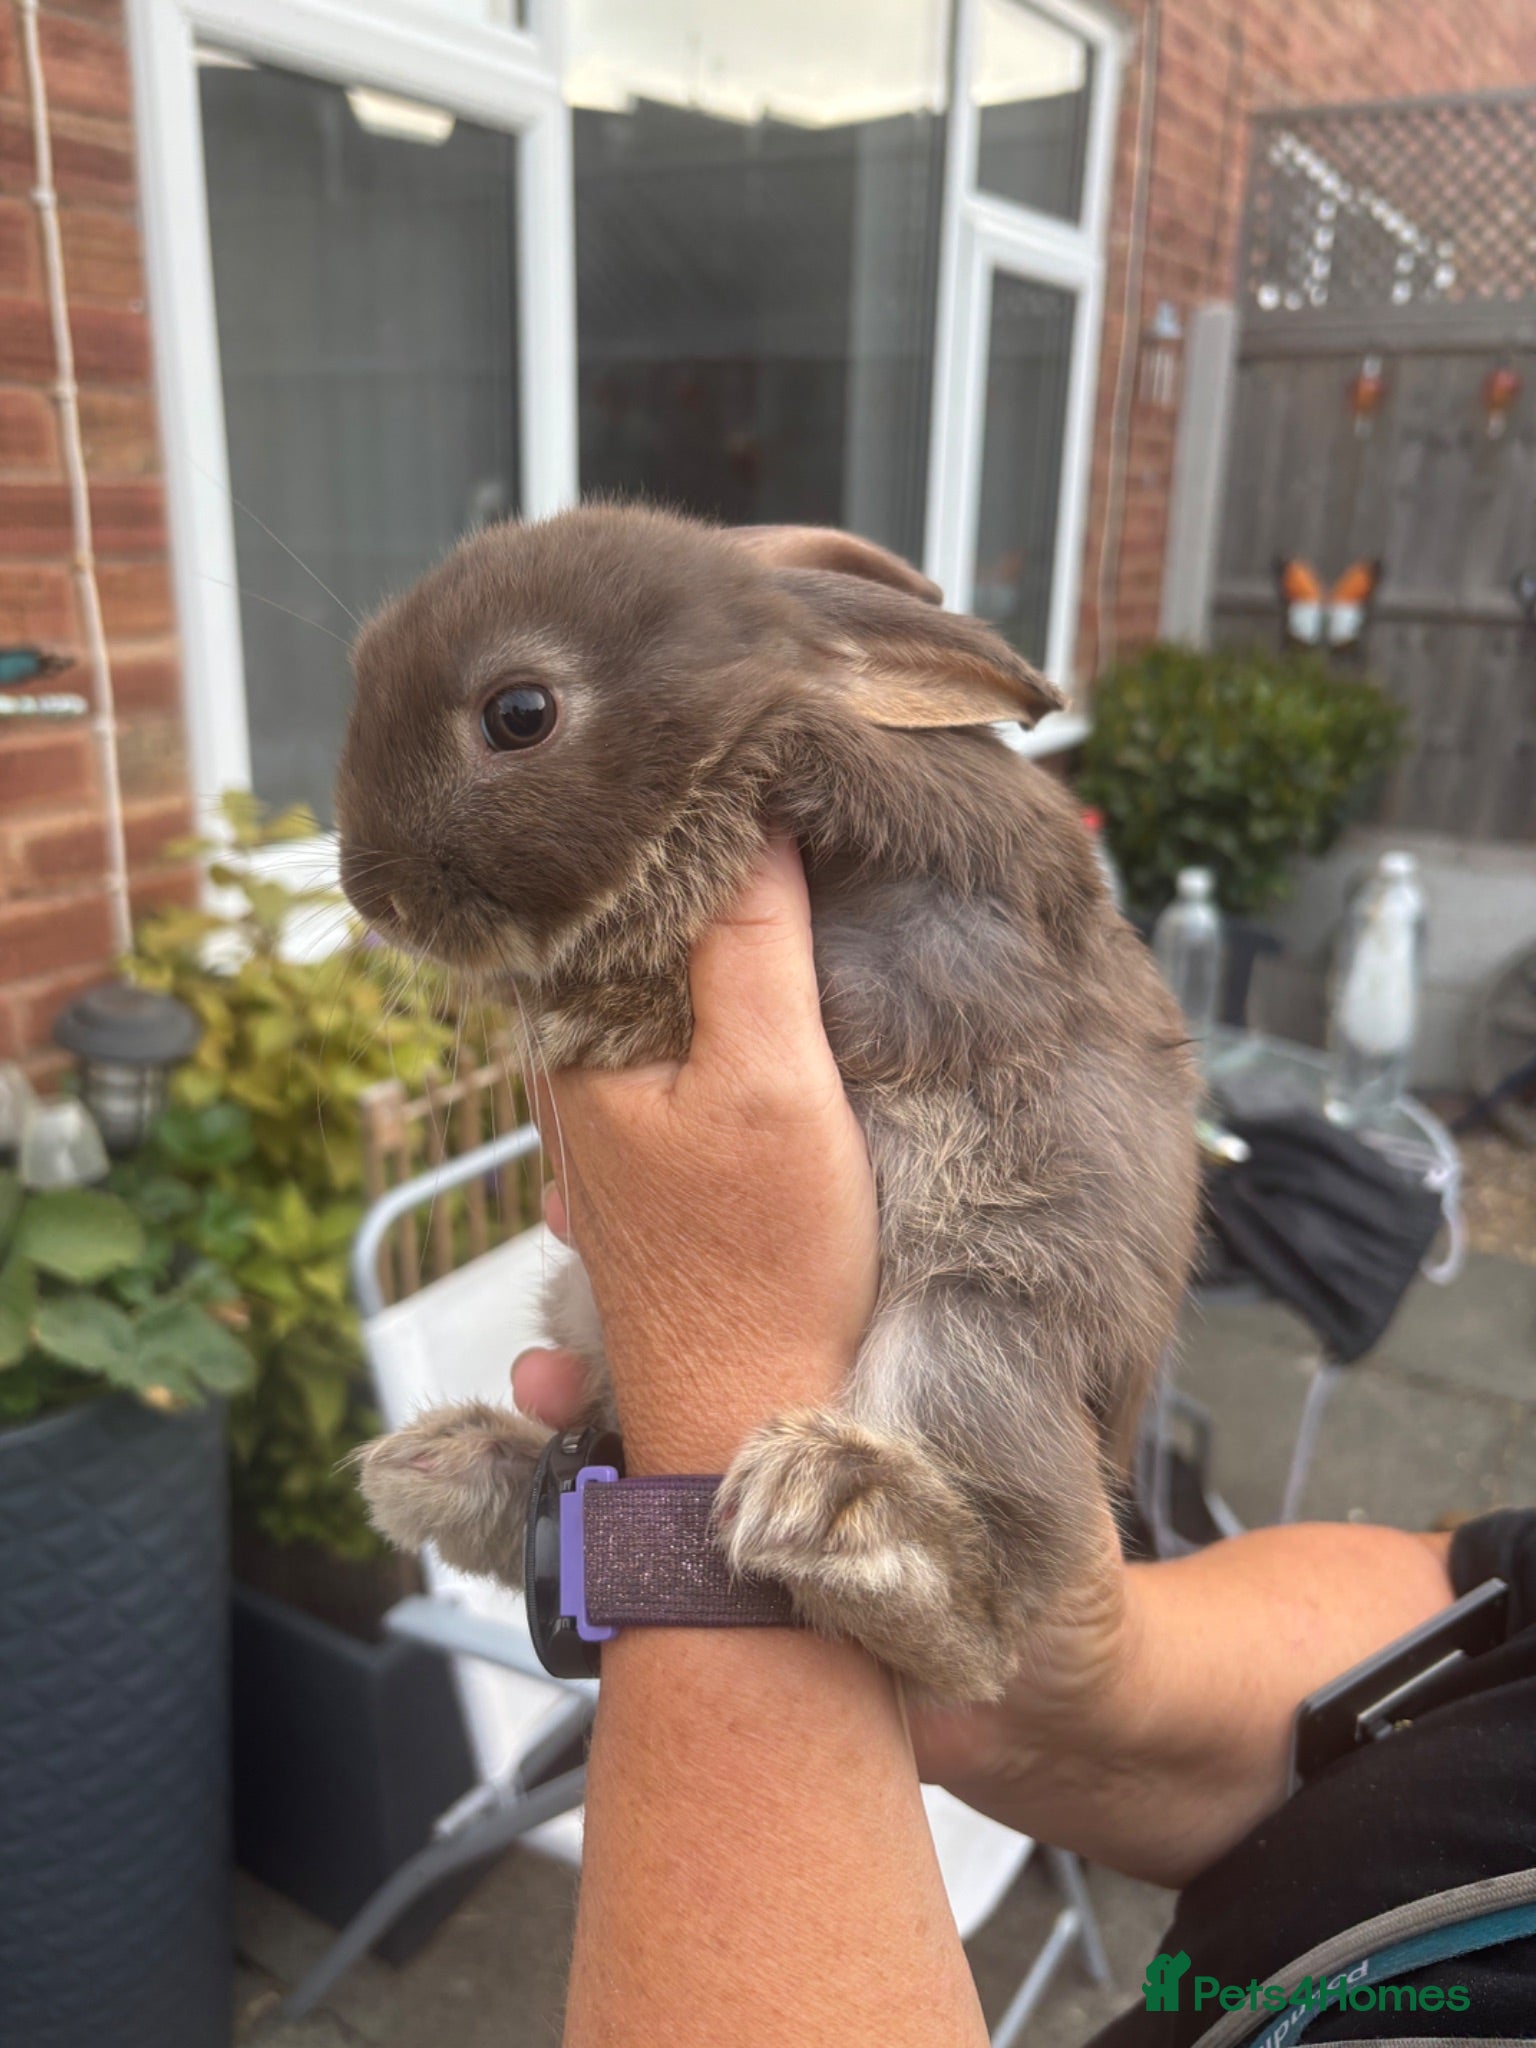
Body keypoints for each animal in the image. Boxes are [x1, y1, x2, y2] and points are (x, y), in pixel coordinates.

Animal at [336, 505, 1199, 1702]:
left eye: (520, 714)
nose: (371, 893)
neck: (740, 725)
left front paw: (589, 1020)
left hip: (985, 1319)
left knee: (983, 1616)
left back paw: (835, 1510)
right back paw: (443, 1467)